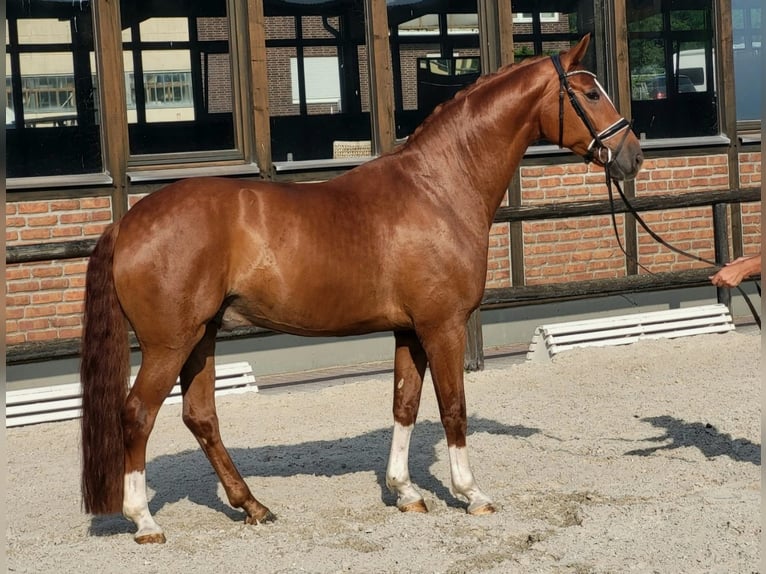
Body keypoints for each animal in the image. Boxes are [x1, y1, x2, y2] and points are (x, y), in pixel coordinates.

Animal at [81, 36, 644, 544]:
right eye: (589, 94)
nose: (632, 156)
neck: (438, 187)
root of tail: (128, 222)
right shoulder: (442, 326)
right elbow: (453, 407)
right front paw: (470, 494)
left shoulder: (409, 331)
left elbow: (404, 404)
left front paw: (406, 492)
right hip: (169, 343)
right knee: (137, 414)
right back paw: (144, 521)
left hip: (202, 336)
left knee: (200, 417)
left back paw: (253, 506)